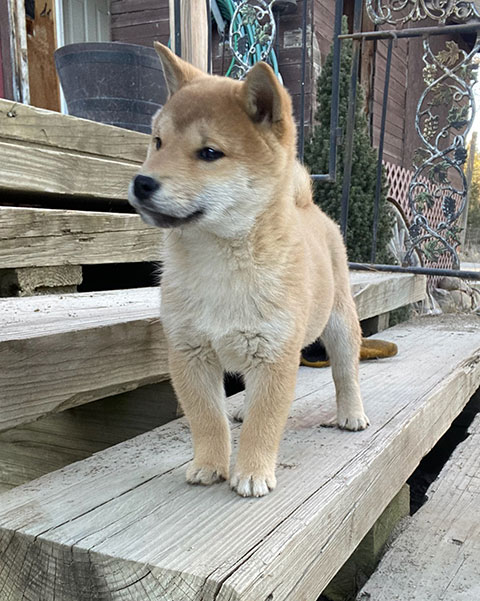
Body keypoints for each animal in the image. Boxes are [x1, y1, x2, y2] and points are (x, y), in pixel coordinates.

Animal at [127, 43, 368, 496]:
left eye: (209, 153)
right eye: (158, 142)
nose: (141, 183)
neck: (219, 262)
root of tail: (307, 205)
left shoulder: (275, 355)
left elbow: (265, 421)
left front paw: (253, 472)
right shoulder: (189, 353)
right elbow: (207, 418)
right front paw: (209, 464)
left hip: (340, 322)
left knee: (346, 372)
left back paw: (352, 413)